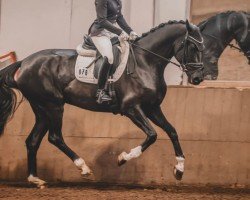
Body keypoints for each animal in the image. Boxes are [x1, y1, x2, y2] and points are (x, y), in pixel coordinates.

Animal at [0, 19, 204, 188]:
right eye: (192, 46)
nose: (198, 78)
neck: (145, 63)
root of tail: (24, 63)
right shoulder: (132, 108)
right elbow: (152, 135)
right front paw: (123, 158)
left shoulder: (152, 108)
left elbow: (172, 131)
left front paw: (179, 169)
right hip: (53, 106)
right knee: (55, 137)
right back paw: (83, 168)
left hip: (42, 109)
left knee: (33, 141)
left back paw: (35, 179)